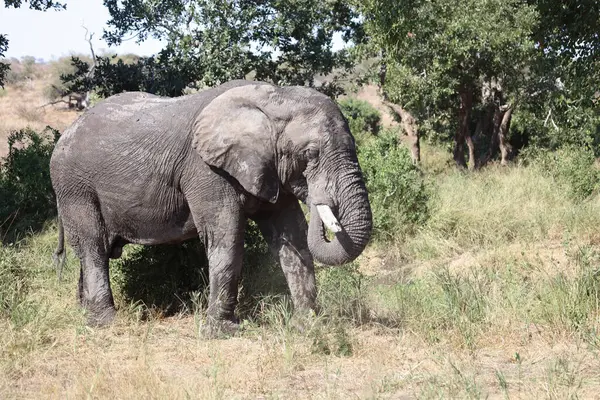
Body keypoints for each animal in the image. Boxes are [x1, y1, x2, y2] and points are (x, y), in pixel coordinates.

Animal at [50, 79, 370, 334]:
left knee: (94, 251)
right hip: (75, 187)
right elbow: (227, 237)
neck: (273, 98)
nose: (321, 200)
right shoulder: (206, 170)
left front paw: (309, 325)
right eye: (311, 153)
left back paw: (85, 313)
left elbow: (291, 236)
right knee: (94, 247)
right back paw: (104, 323)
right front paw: (222, 332)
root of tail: (64, 134)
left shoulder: (270, 170)